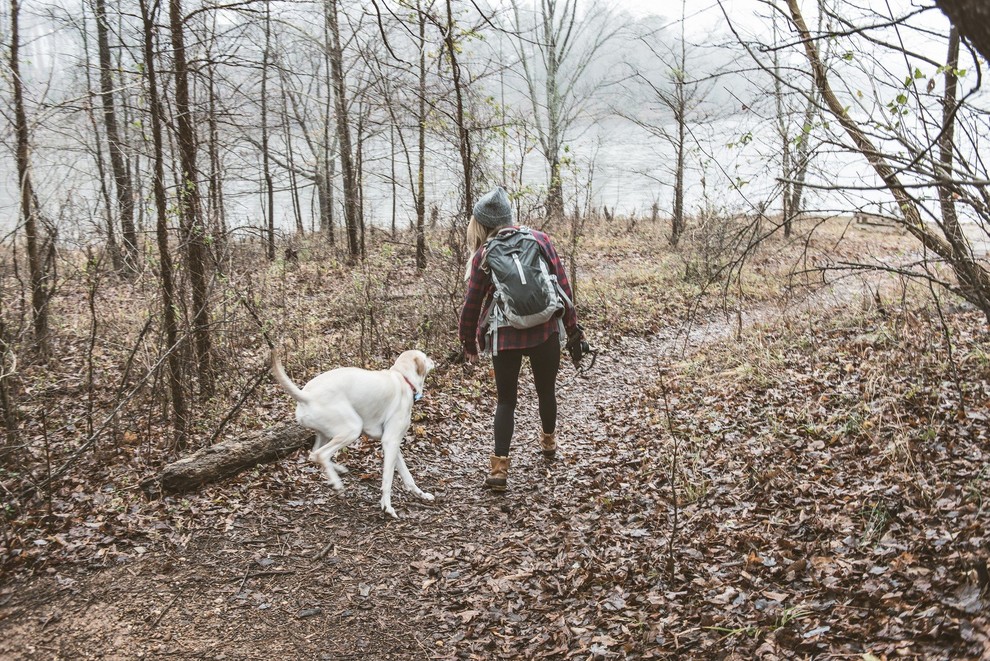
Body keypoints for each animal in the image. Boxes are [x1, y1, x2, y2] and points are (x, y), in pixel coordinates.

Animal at [276, 348, 438, 520]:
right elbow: (388, 479)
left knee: (314, 454)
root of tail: (307, 396)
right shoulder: (390, 442)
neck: (402, 377)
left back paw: (337, 471)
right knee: (321, 454)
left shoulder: (394, 446)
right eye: (425, 357)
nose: (433, 361)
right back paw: (337, 483)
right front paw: (387, 506)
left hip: (326, 434)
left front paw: (421, 495)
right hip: (352, 429)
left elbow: (408, 477)